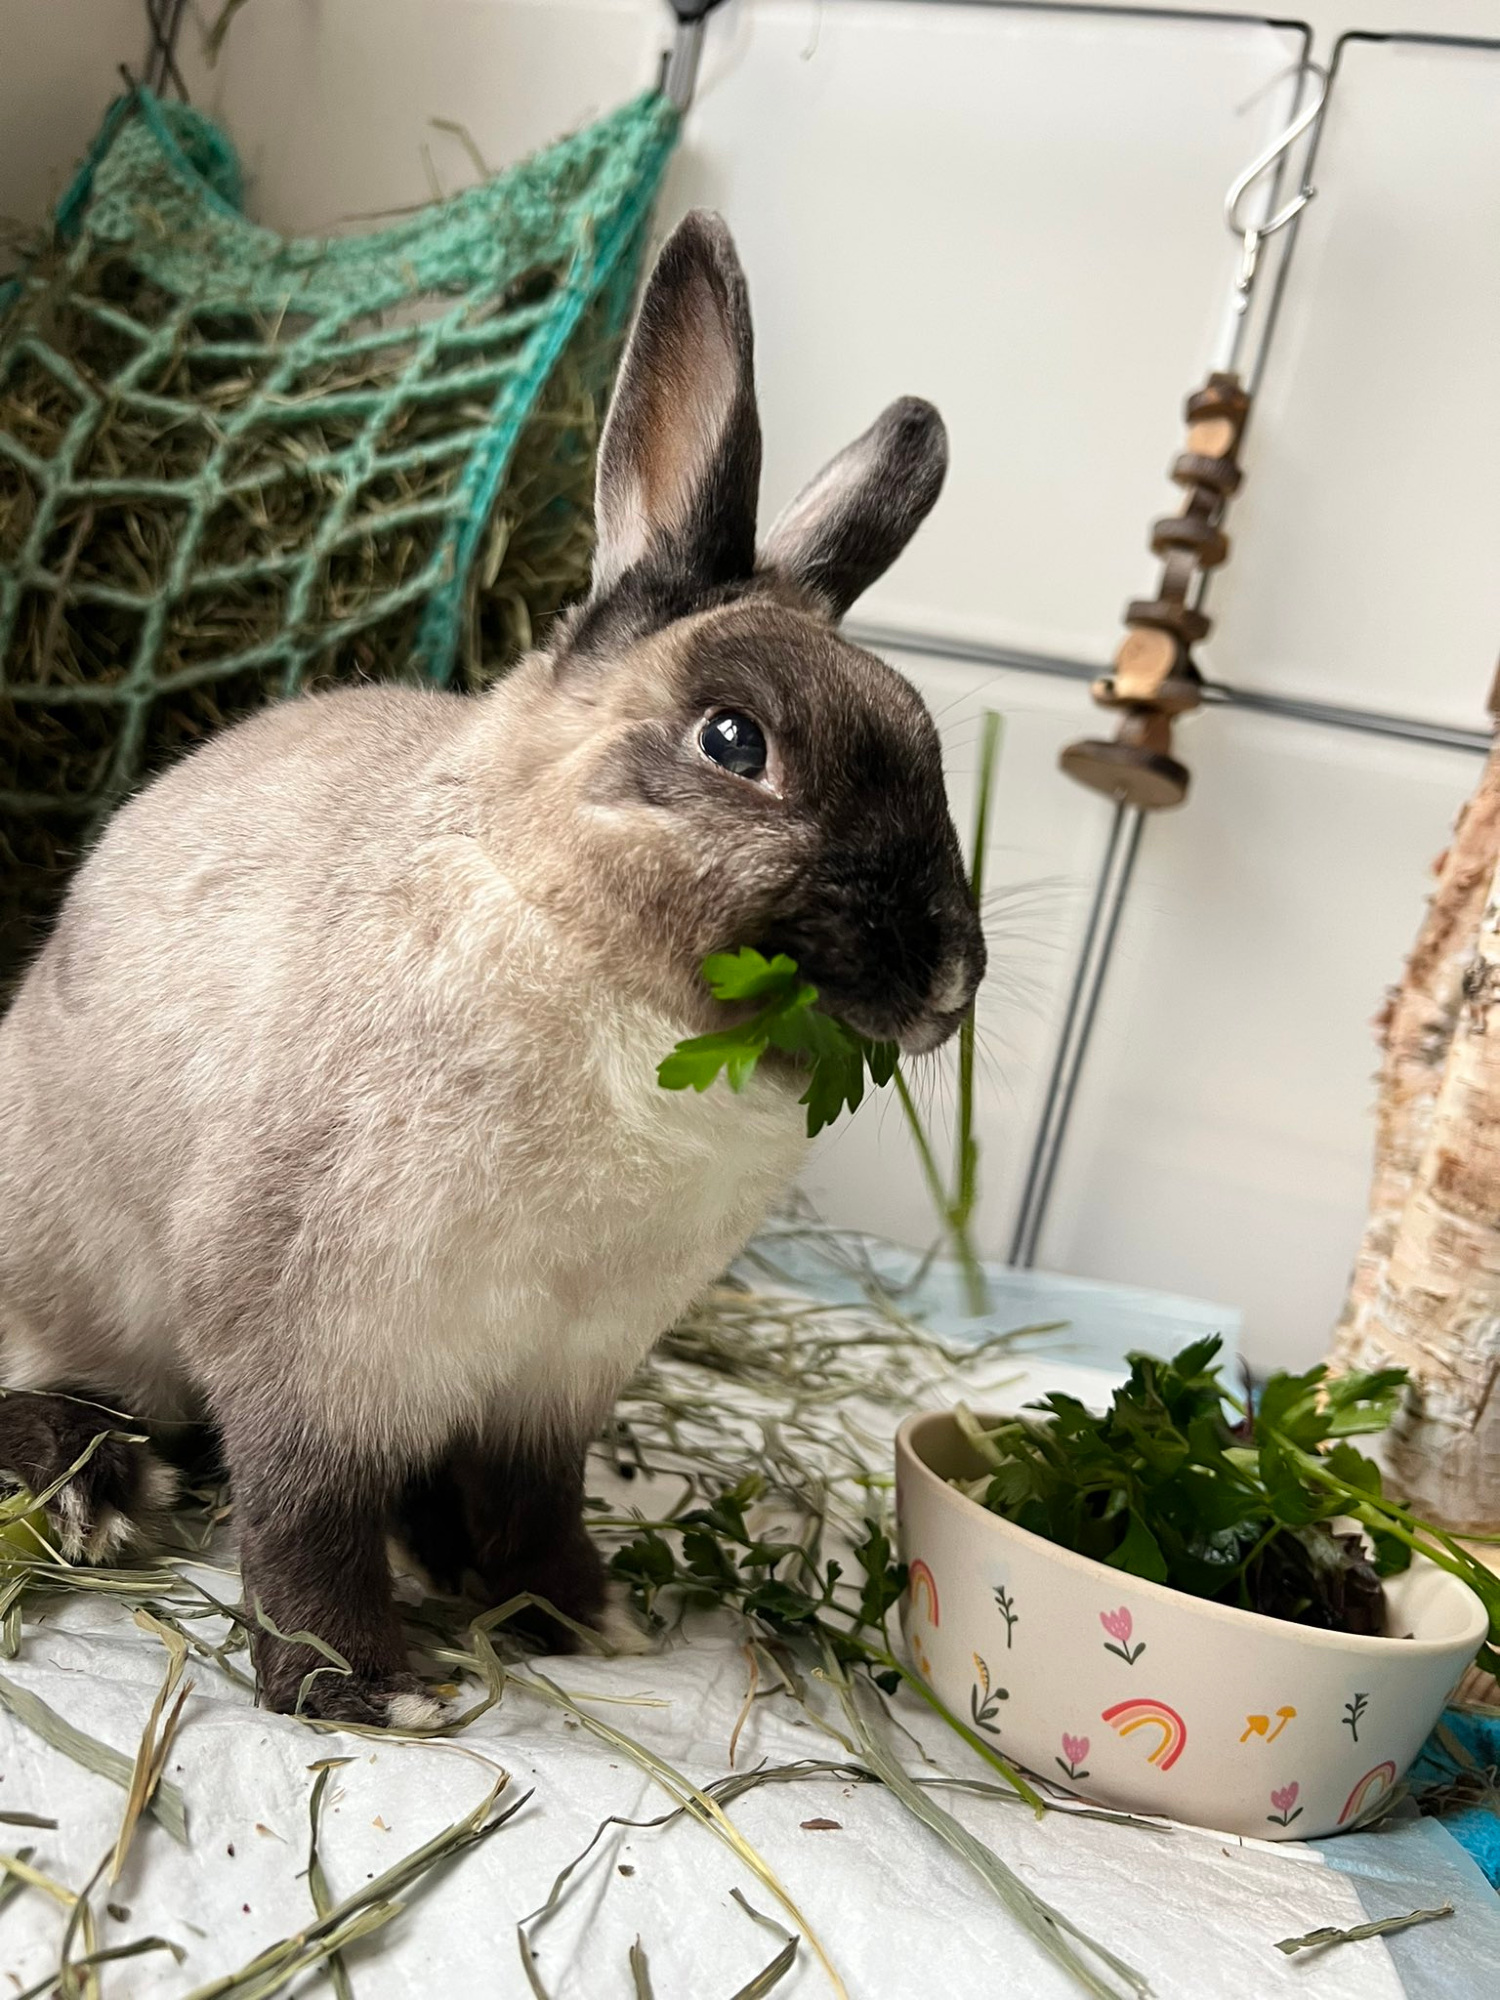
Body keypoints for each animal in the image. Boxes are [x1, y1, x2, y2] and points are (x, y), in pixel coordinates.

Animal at [0, 212, 986, 1724]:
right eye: (732, 741)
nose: (950, 977)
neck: (590, 965)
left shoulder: (557, 1378)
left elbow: (536, 1506)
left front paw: (589, 1619)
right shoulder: (310, 1341)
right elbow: (304, 1512)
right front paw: (362, 1687)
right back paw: (103, 1483)